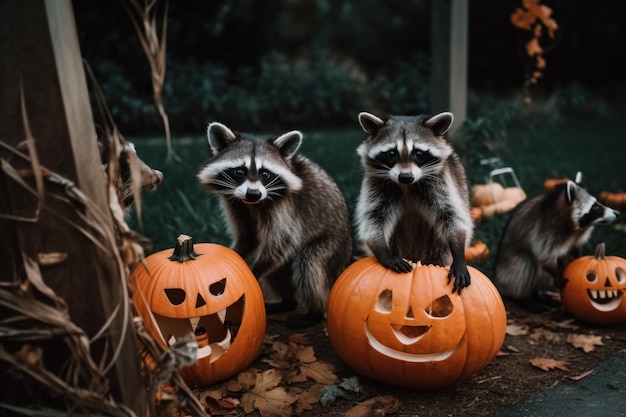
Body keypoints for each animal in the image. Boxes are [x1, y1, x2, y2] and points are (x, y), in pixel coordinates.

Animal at [196, 122, 352, 326]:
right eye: (239, 171)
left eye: (265, 174)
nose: (253, 194)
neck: (251, 203)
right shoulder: (235, 202)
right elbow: (249, 237)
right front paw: (235, 256)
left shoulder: (285, 205)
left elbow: (282, 241)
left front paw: (254, 271)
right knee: (278, 271)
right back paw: (287, 302)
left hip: (334, 247)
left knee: (309, 261)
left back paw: (315, 312)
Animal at [354, 111, 470, 292]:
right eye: (391, 153)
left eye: (418, 153)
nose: (406, 176)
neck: (406, 186)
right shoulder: (376, 185)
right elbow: (373, 218)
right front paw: (383, 252)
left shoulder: (440, 181)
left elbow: (451, 214)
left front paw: (459, 252)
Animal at [492, 171, 620, 310]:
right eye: (595, 207)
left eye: (596, 203)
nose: (617, 213)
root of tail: (497, 279)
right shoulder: (548, 230)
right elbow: (545, 256)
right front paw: (557, 274)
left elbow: (573, 248)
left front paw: (579, 257)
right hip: (508, 268)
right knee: (526, 262)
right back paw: (526, 299)